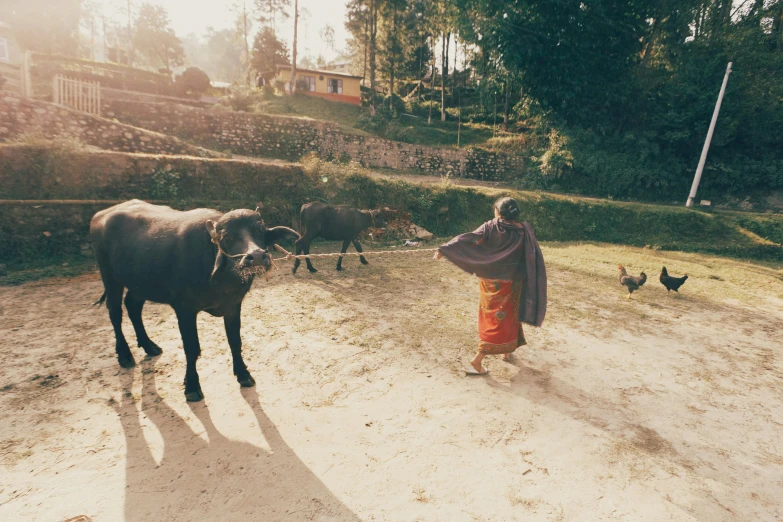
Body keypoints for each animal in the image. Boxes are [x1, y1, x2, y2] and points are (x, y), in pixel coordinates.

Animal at [90, 198, 300, 398]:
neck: (221, 279)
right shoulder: (185, 310)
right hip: (110, 277)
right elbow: (192, 349)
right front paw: (191, 386)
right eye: (227, 237)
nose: (256, 257)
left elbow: (235, 341)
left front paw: (243, 374)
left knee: (133, 306)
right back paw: (124, 355)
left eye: (261, 230)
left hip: (139, 282)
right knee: (115, 312)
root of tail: (100, 215)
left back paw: (150, 346)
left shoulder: (233, 306)